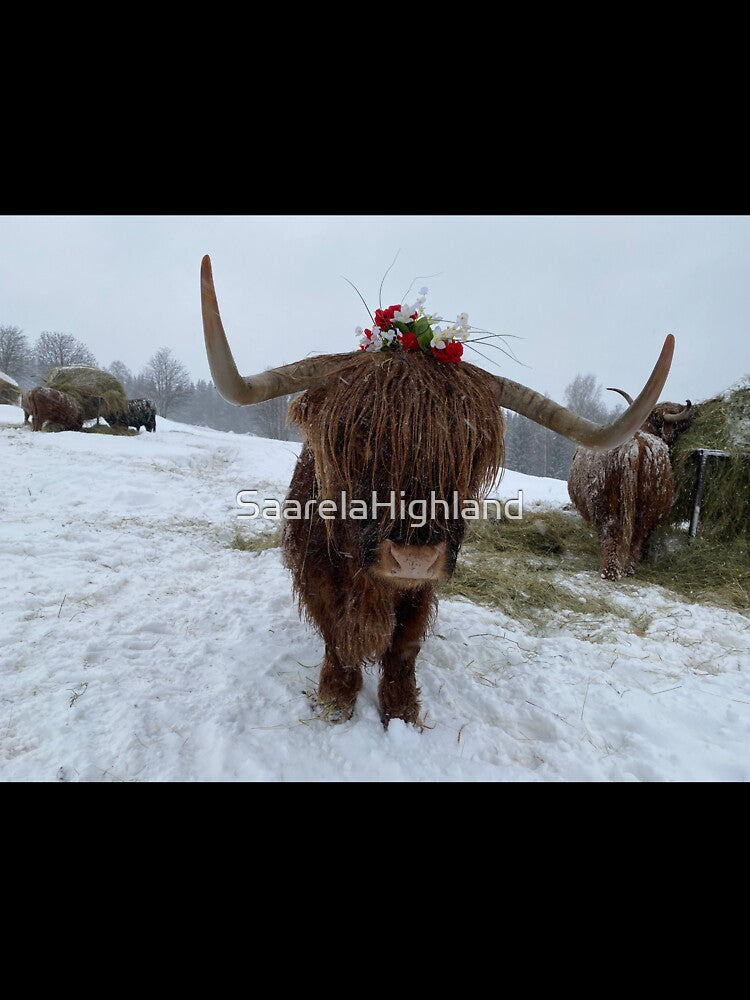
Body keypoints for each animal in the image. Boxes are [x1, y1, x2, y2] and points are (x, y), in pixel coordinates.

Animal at [201, 256, 675, 726]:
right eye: (361, 432)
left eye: (471, 446)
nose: (415, 557)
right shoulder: (315, 570)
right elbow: (337, 634)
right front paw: (336, 697)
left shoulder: (422, 590)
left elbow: (403, 646)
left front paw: (401, 709)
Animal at [568, 390, 694, 580]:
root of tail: (632, 448)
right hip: (644, 506)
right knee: (634, 534)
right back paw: (624, 569)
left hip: (605, 503)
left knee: (613, 532)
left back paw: (612, 571)